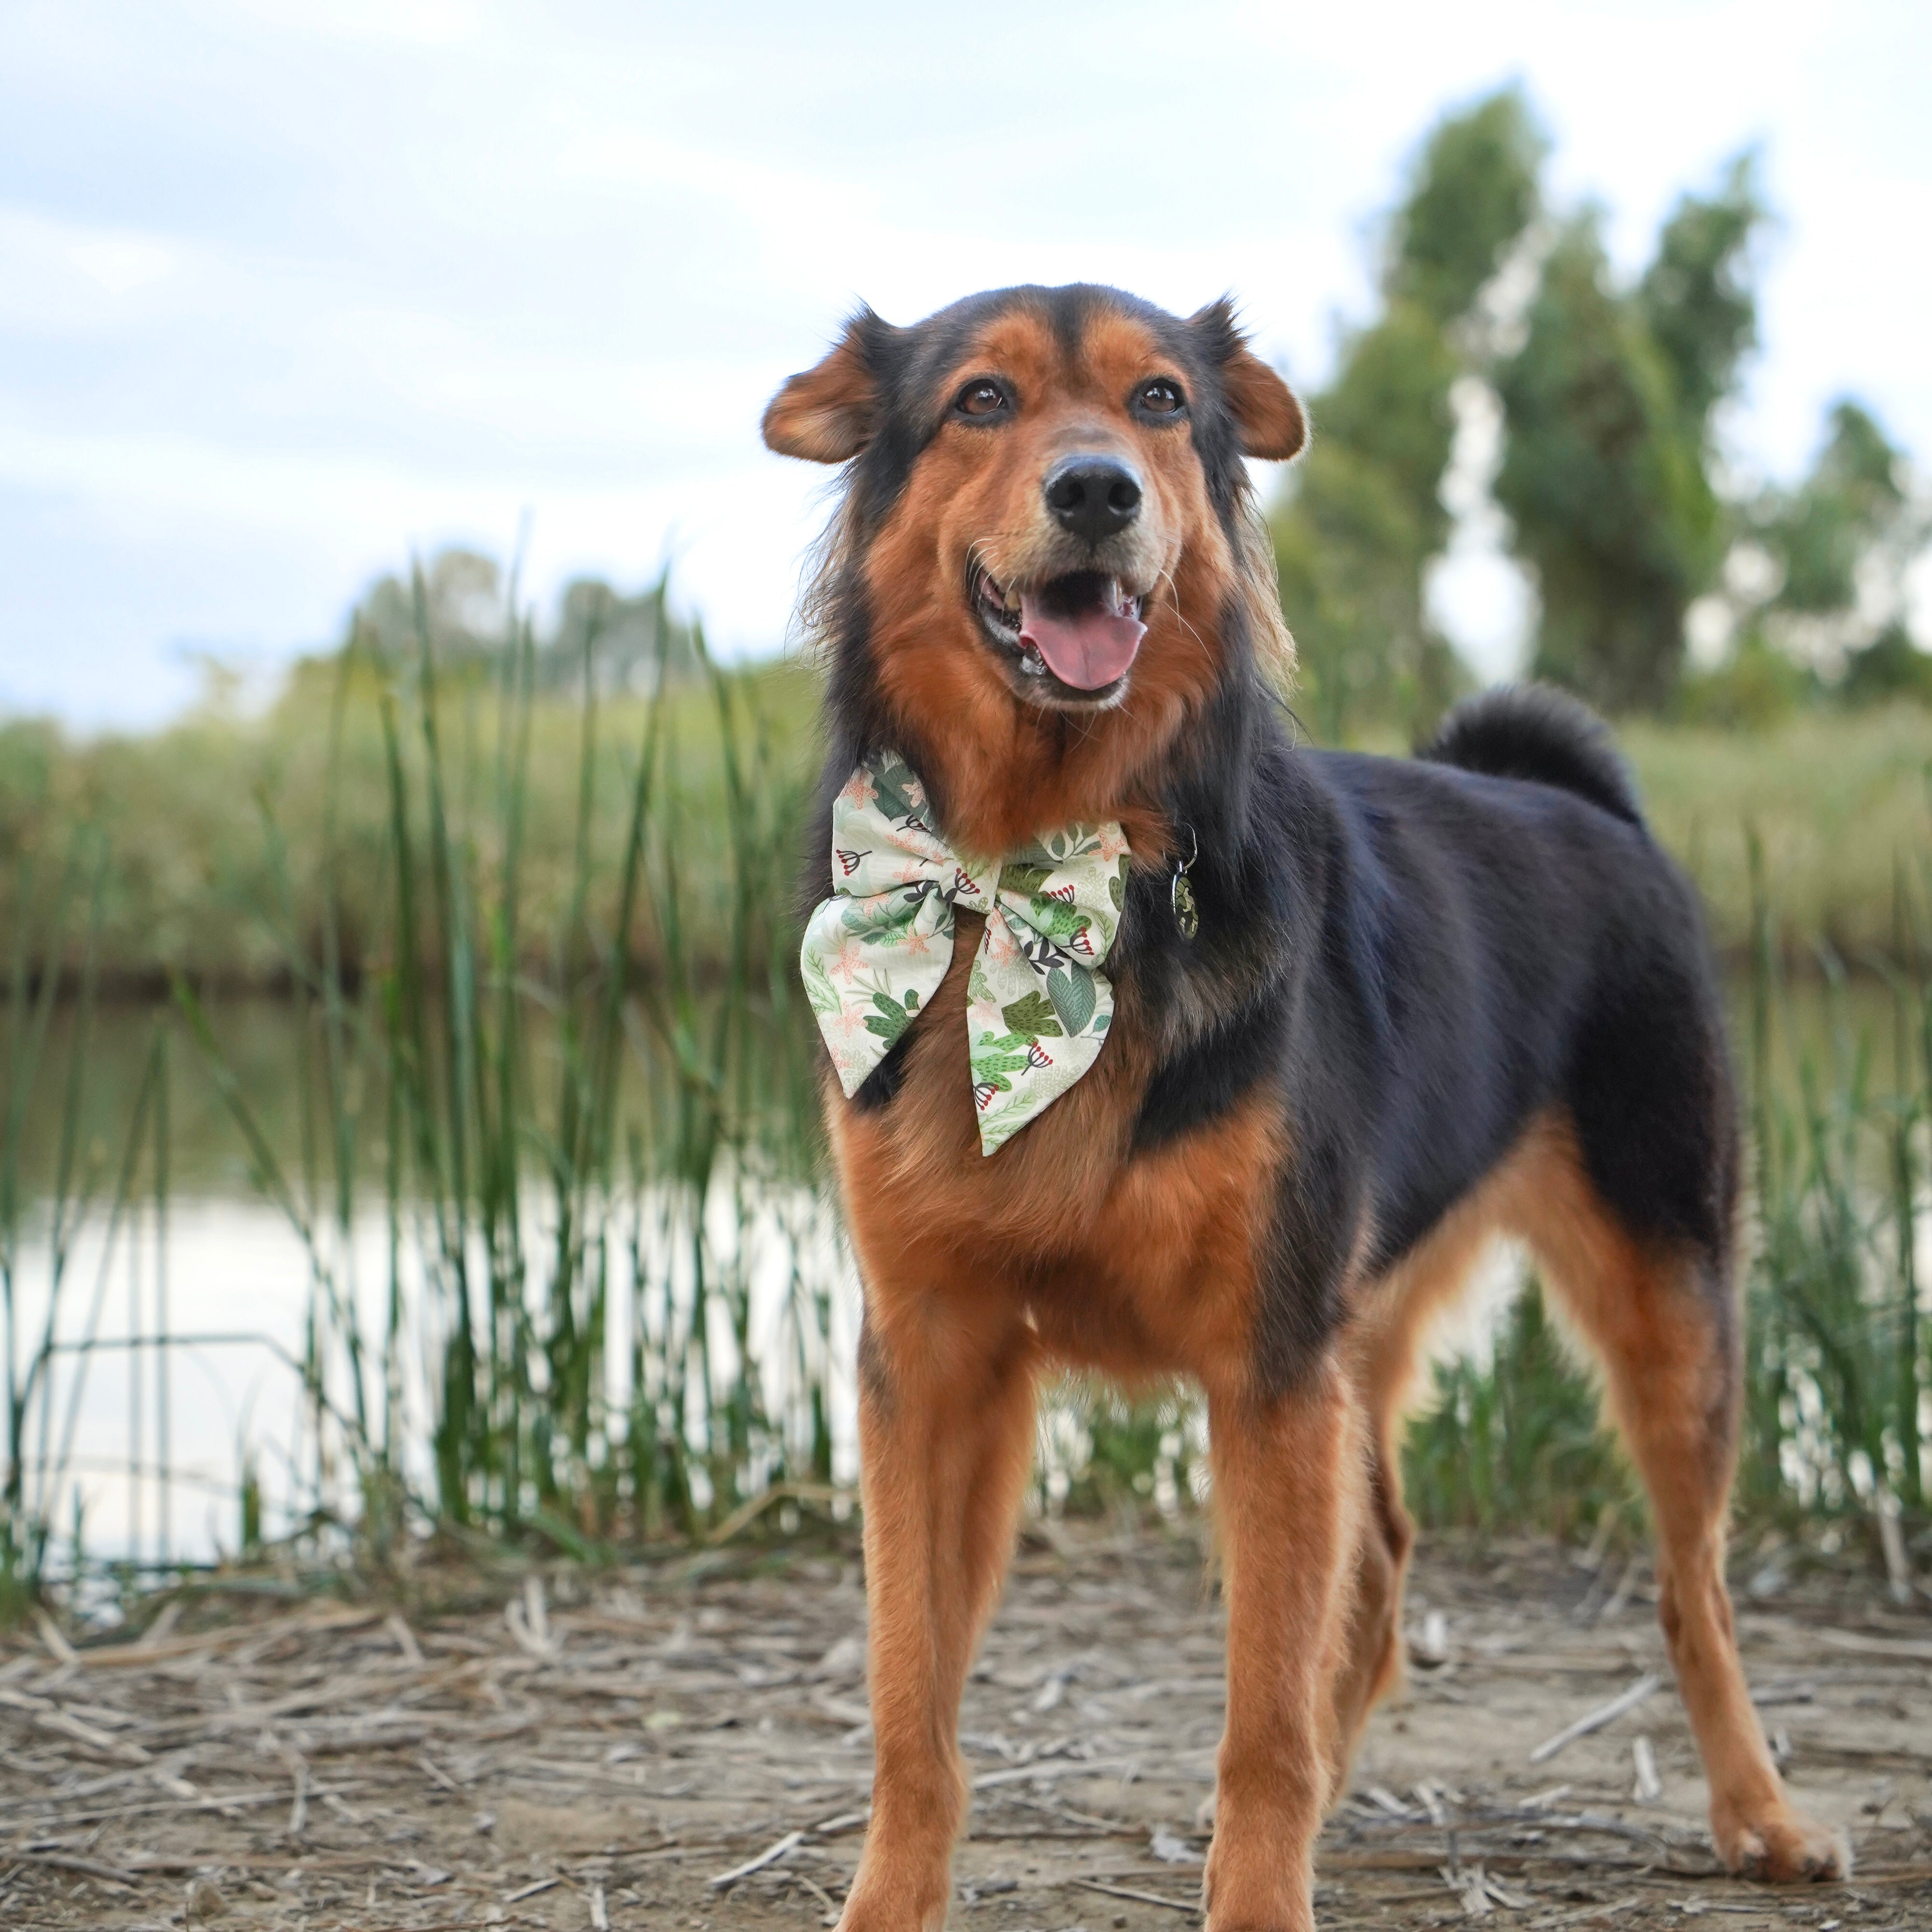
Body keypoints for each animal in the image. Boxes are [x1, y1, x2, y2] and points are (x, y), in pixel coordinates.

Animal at [761, 286, 1847, 1932]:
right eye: (980, 400)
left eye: (1157, 399)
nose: (1098, 491)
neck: (1051, 866)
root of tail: (1570, 794)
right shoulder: (934, 1358)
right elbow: (909, 1697)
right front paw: (892, 1901)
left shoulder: (1268, 1371)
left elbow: (1258, 1715)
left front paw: (1260, 1884)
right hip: (1370, 1322)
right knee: (1385, 1565)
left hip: (1668, 1301)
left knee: (1692, 1590)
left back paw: (1758, 1812)